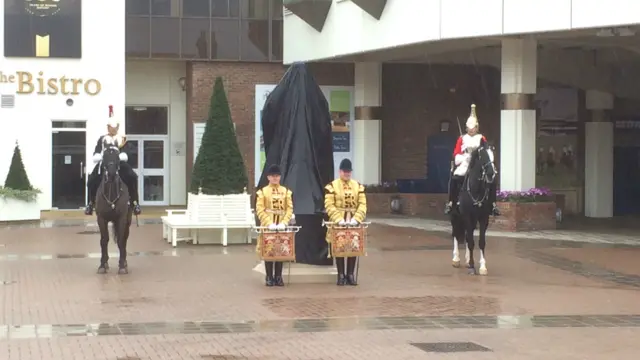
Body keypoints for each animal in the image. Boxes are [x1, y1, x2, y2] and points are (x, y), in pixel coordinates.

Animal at [95, 145, 132, 274]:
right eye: (104, 156)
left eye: (117, 157)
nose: (111, 173)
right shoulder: (101, 219)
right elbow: (103, 240)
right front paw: (102, 264)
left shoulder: (122, 218)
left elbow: (121, 241)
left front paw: (122, 265)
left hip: (128, 221)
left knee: (125, 239)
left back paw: (125, 262)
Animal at [448, 141, 498, 276]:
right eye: (483, 156)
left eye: (493, 155)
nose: (491, 174)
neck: (477, 189)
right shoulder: (466, 215)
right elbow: (470, 241)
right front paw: (471, 265)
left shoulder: (483, 218)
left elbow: (481, 242)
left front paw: (482, 266)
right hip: (455, 215)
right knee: (456, 233)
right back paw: (456, 259)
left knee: (465, 234)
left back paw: (465, 259)